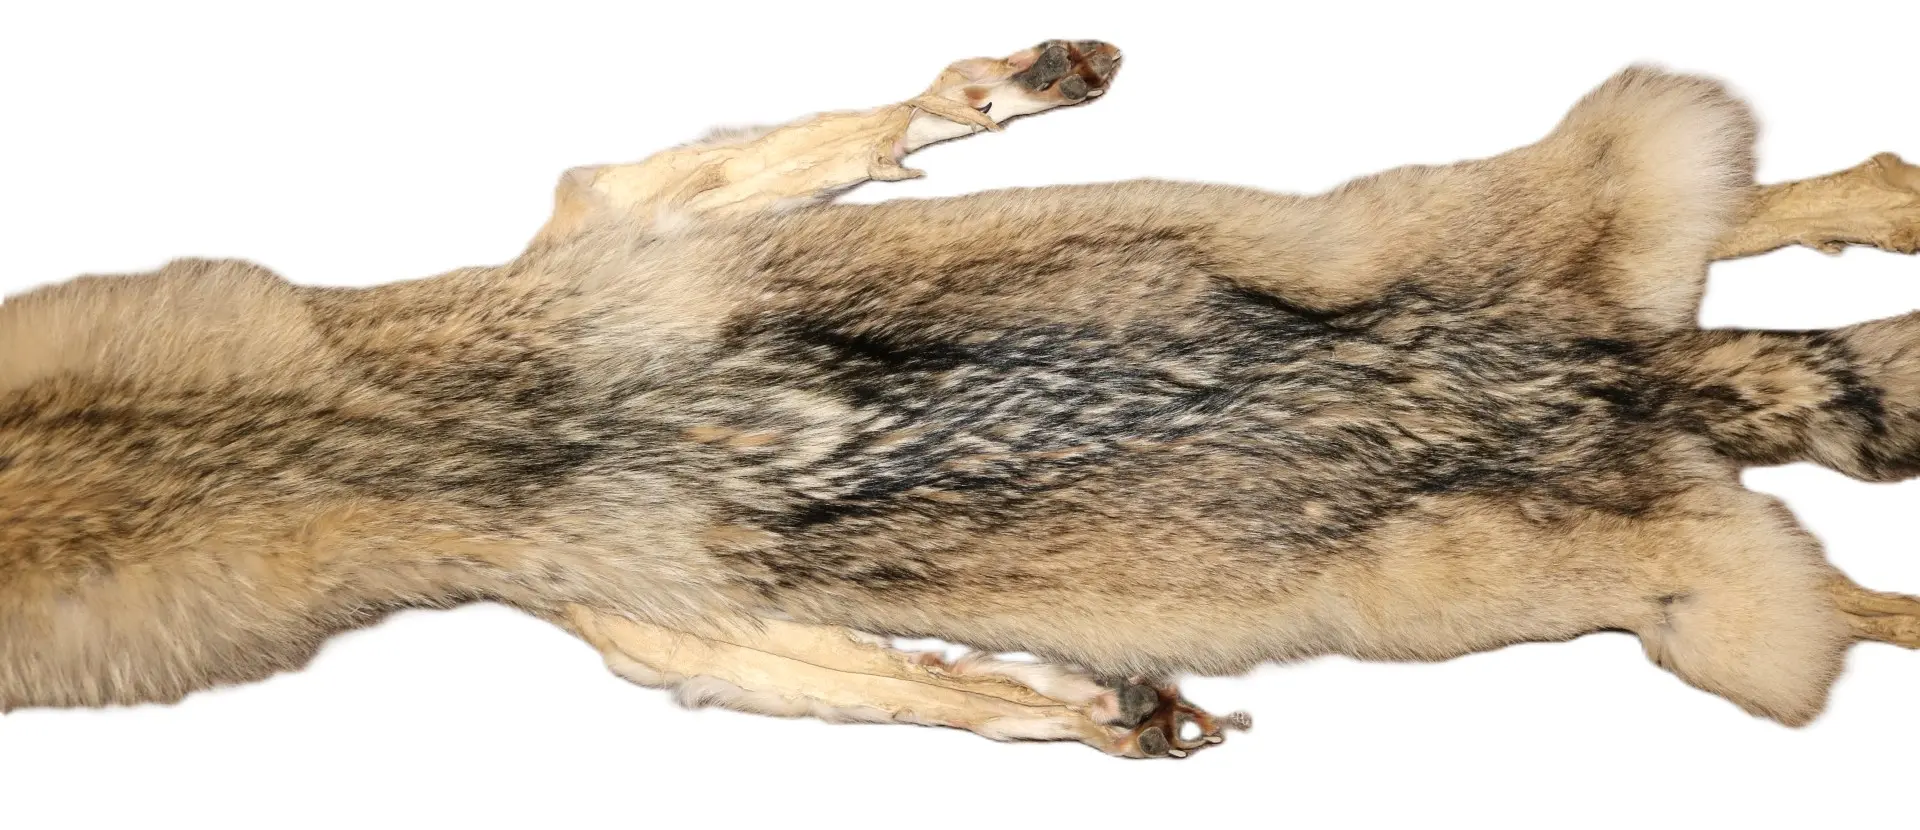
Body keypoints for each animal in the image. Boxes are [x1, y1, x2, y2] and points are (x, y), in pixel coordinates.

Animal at [3, 40, 1918, 758]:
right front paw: (1124, 717)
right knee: (1835, 497)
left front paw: (1025, 80)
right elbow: (954, 692)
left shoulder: (607, 238)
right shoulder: (685, 627)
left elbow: (869, 124)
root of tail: (1628, 380)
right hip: (1602, 328)